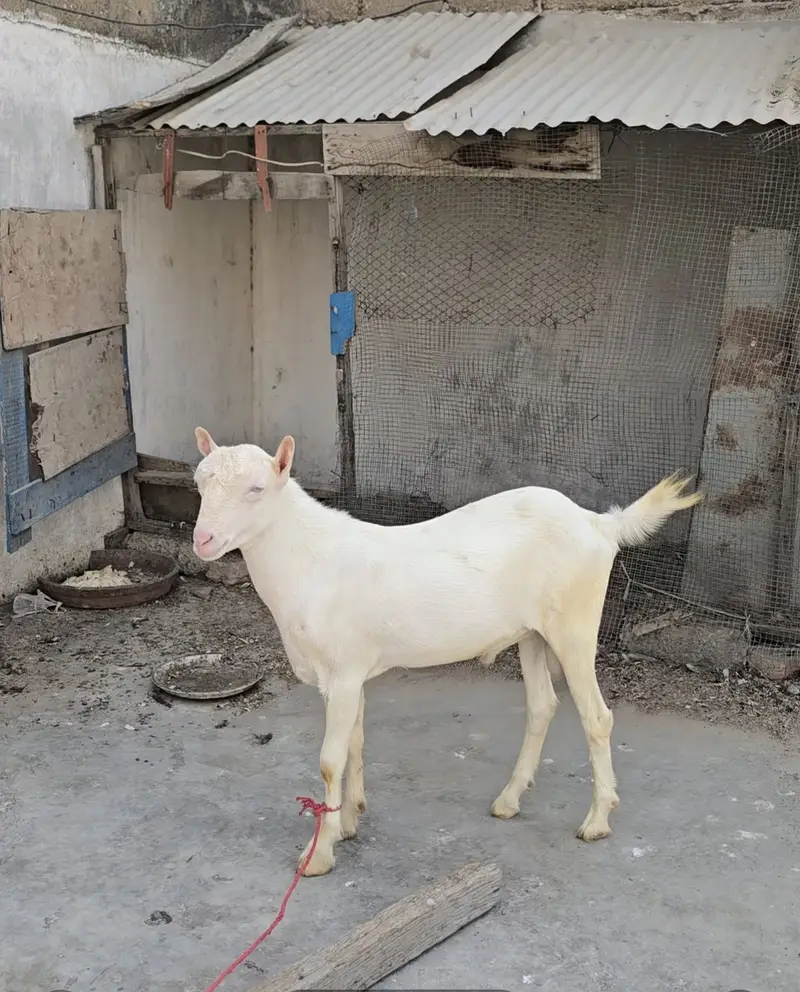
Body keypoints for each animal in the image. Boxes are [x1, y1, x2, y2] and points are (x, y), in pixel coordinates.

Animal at [191, 426, 702, 877]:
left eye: (256, 489)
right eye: (199, 481)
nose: (202, 541)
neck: (309, 559)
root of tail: (598, 523)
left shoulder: (342, 671)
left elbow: (329, 760)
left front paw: (318, 854)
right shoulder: (349, 673)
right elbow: (355, 741)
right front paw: (350, 822)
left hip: (574, 625)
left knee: (597, 717)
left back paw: (596, 821)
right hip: (533, 632)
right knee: (542, 705)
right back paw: (509, 801)